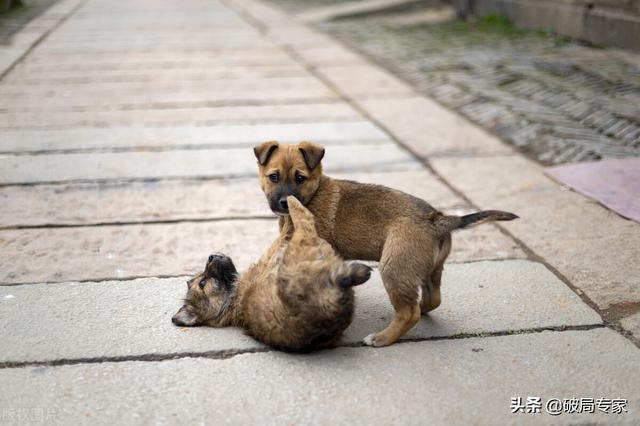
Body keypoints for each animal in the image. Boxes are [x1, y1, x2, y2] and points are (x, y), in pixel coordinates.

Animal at [172, 196, 372, 352]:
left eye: (200, 278)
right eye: (203, 283)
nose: (211, 256)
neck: (233, 300)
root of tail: (327, 312)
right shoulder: (278, 249)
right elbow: (291, 226)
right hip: (301, 248)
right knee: (304, 220)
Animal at [252, 141, 516, 348]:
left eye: (300, 178)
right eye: (273, 177)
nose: (284, 202)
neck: (314, 193)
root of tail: (437, 219)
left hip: (394, 267)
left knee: (409, 313)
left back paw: (382, 338)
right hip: (429, 268)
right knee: (431, 300)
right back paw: (418, 309)